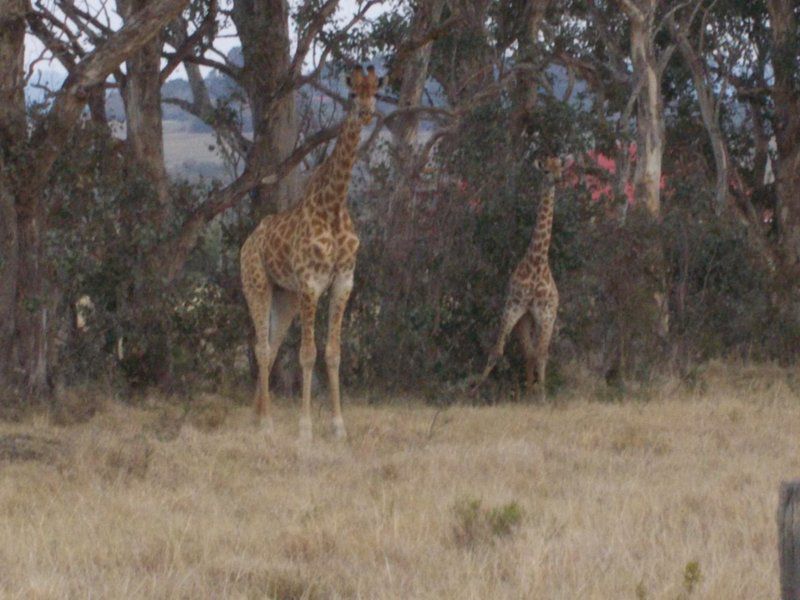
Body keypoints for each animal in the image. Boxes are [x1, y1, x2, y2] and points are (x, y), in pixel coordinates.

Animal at [241, 65, 384, 440]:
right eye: (352, 93)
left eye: (376, 90)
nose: (366, 112)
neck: (333, 206)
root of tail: (248, 241)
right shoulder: (310, 284)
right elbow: (307, 353)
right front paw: (305, 428)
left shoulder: (343, 282)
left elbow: (333, 353)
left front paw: (338, 426)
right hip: (257, 285)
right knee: (262, 347)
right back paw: (267, 422)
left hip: (285, 296)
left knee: (273, 346)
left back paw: (256, 417)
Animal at [472, 155, 564, 400]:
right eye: (545, 171)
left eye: (560, 168)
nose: (557, 180)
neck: (537, 262)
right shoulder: (513, 306)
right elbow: (497, 350)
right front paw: (473, 390)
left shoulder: (545, 312)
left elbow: (541, 354)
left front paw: (541, 396)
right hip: (525, 319)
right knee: (528, 351)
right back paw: (528, 392)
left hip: (544, 317)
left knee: (537, 352)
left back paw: (535, 392)